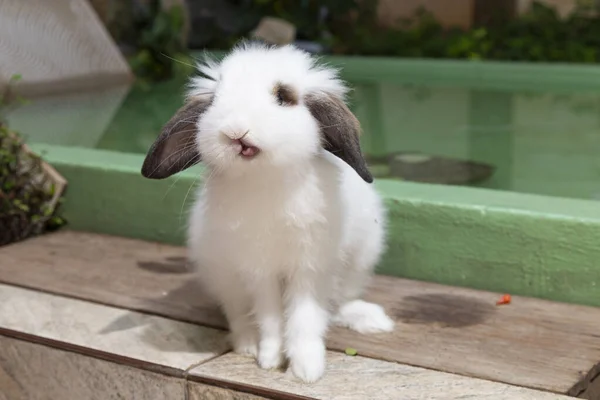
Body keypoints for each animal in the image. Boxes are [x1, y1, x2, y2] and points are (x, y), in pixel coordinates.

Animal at [140, 42, 394, 382]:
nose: (234, 131)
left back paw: (371, 319)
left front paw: (307, 370)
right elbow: (270, 317)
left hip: (360, 261)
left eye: (284, 97)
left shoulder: (310, 268)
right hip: (225, 280)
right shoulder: (258, 271)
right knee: (239, 316)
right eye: (215, 99)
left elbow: (304, 317)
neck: (265, 178)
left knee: (340, 302)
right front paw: (270, 359)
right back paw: (248, 345)